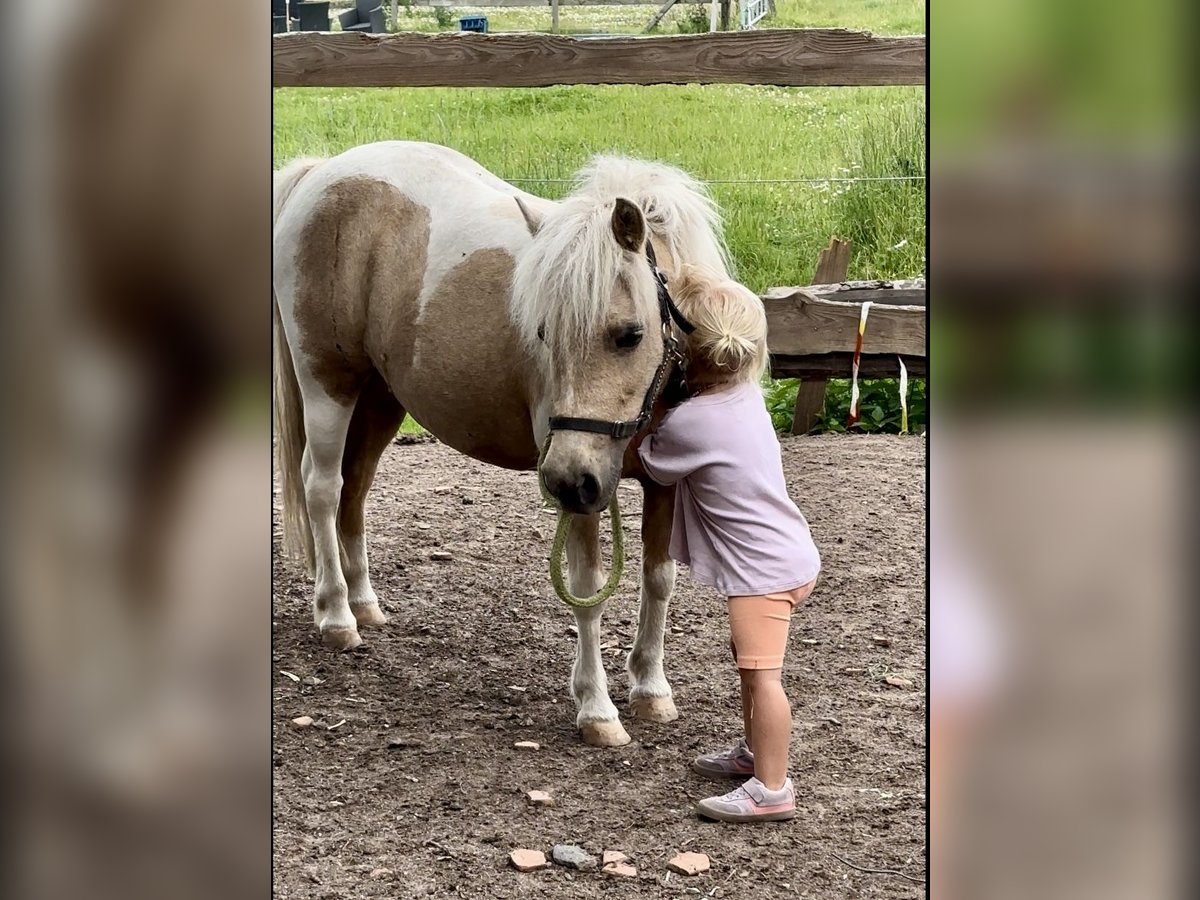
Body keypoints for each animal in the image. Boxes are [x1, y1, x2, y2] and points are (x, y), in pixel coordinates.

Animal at [272, 142, 724, 748]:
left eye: (629, 334)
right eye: (542, 332)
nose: (564, 478)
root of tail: (322, 172)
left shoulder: (658, 484)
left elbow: (659, 580)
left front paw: (651, 689)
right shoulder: (582, 496)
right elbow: (587, 589)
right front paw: (597, 708)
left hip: (380, 399)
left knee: (355, 491)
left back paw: (364, 604)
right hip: (328, 384)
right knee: (322, 488)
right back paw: (336, 616)